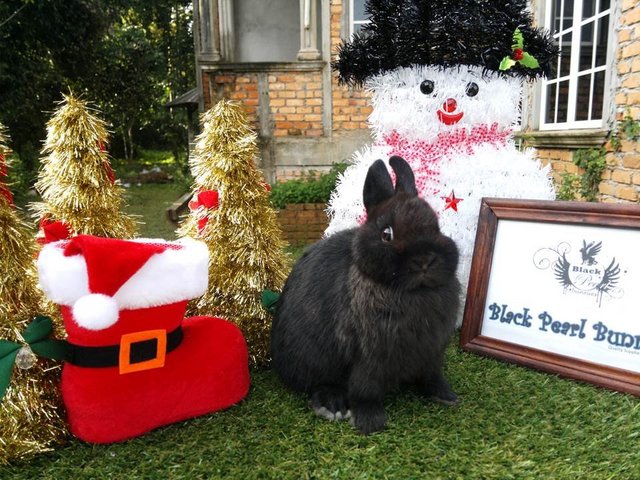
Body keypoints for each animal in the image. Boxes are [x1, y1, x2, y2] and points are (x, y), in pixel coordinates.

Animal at [270, 156, 460, 434]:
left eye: (436, 225)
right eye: (387, 234)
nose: (425, 260)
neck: (410, 292)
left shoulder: (431, 354)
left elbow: (432, 378)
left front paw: (447, 396)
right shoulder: (368, 357)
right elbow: (365, 390)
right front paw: (371, 423)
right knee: (317, 384)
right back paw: (333, 405)